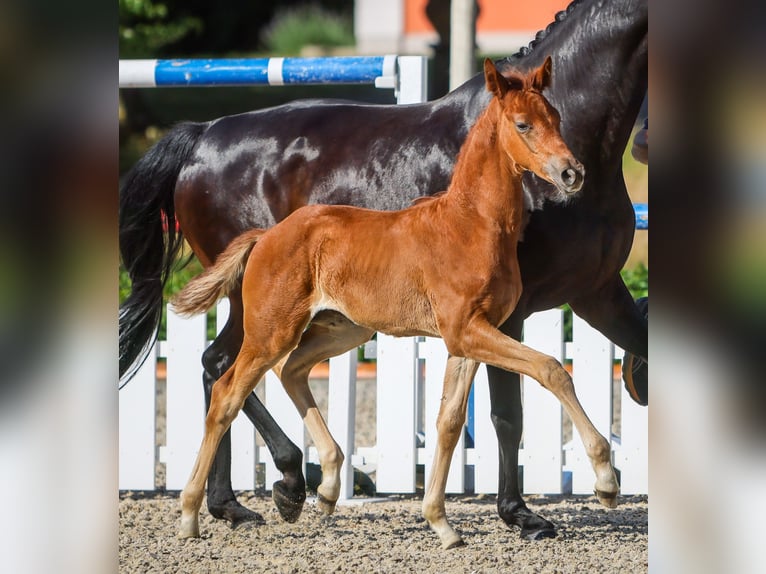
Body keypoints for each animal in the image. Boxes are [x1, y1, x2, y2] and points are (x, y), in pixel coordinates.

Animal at [119, 0, 647, 539]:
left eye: (557, 116)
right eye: (522, 125)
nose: (570, 173)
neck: (470, 218)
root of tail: (202, 135)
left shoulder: (569, 300)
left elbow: (450, 421)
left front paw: (443, 520)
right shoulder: (492, 323)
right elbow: (530, 391)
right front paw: (560, 499)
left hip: (338, 327)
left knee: (267, 370)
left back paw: (284, 490)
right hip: (267, 320)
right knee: (226, 380)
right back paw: (238, 497)